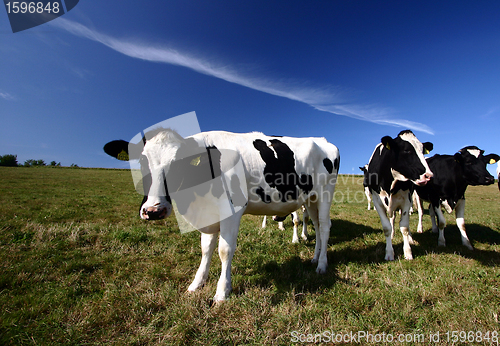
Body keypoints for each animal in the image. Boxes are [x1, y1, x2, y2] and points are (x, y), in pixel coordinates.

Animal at [104, 128, 340, 302]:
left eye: (178, 164)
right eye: (141, 162)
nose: (154, 210)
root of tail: (323, 140)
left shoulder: (232, 211)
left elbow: (224, 251)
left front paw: (222, 292)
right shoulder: (209, 212)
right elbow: (205, 249)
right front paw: (196, 283)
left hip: (325, 193)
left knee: (325, 226)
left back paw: (321, 265)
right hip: (310, 198)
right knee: (317, 226)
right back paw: (315, 257)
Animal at [364, 130, 434, 260]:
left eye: (422, 151)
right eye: (407, 150)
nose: (429, 175)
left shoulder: (406, 200)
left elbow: (404, 227)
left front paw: (408, 252)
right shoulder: (377, 201)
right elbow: (387, 227)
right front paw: (389, 253)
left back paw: (411, 238)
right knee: (392, 218)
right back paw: (392, 235)